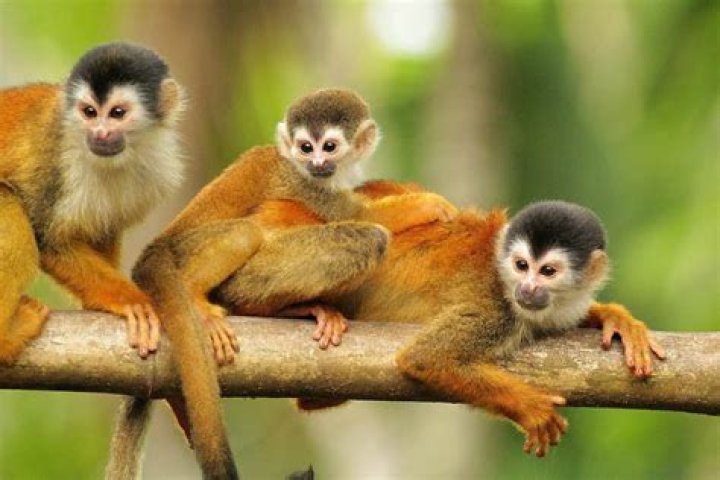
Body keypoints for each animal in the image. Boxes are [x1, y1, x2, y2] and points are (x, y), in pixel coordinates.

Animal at [0, 42, 184, 365]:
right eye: (89, 112)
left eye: (117, 113)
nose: (100, 133)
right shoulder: (52, 158)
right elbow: (47, 238)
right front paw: (130, 301)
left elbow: (101, 230)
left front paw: (98, 302)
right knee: (9, 204)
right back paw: (6, 339)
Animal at [105, 88, 456, 479]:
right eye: (306, 147)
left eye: (328, 147)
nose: (316, 162)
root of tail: (155, 252)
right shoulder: (303, 183)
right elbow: (360, 216)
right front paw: (428, 205)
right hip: (187, 251)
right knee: (254, 233)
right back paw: (200, 299)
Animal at [211, 192, 665, 458]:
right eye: (521, 266)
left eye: (547, 271)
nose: (527, 288)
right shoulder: (495, 308)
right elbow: (427, 357)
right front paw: (530, 408)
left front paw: (617, 319)